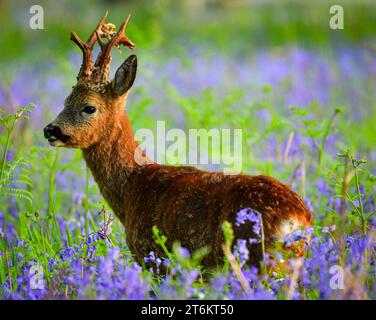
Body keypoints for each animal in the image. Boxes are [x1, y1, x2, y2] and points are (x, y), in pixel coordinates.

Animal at [44, 10, 312, 270]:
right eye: (65, 100)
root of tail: (299, 221)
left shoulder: (151, 256)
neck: (133, 186)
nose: (50, 130)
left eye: (89, 107)